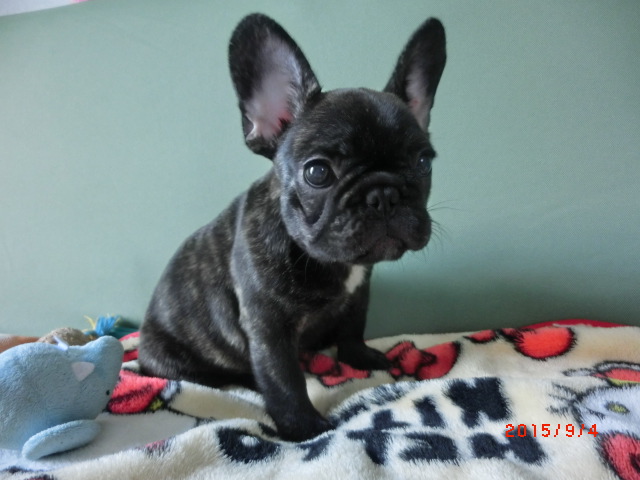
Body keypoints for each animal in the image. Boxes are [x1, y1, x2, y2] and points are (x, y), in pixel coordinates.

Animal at [138, 13, 446, 442]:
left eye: (423, 162)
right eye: (318, 172)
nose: (383, 194)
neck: (326, 259)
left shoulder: (359, 295)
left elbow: (353, 329)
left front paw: (361, 358)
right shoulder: (268, 326)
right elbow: (283, 378)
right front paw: (305, 427)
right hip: (170, 359)